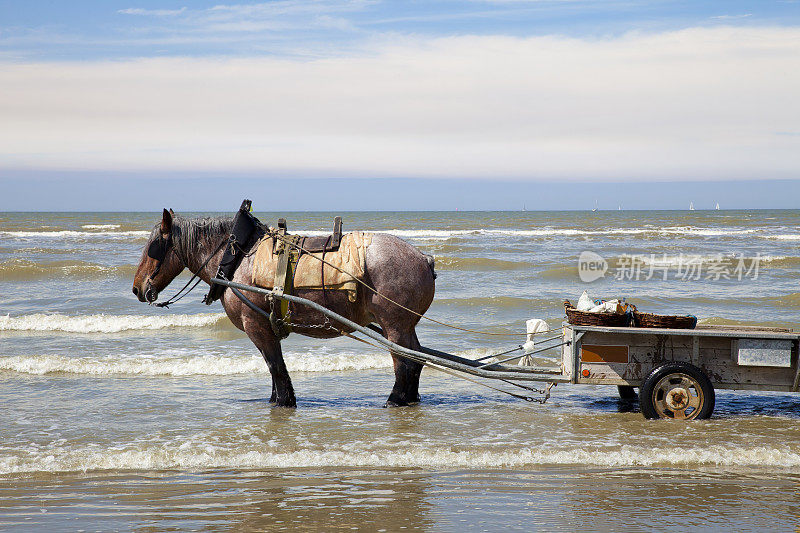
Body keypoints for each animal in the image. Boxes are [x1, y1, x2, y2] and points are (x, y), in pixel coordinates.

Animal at [131, 209, 434, 408]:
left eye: (154, 247)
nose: (137, 288)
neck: (237, 257)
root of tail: (423, 258)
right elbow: (273, 367)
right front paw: (277, 398)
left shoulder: (257, 325)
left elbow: (275, 365)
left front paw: (284, 402)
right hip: (406, 325)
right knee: (417, 358)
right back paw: (409, 399)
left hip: (394, 325)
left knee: (405, 362)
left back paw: (395, 401)